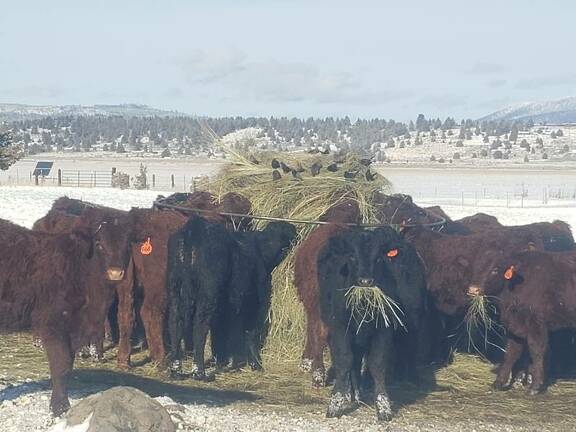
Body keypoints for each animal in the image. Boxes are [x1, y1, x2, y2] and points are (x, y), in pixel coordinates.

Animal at [0, 219, 132, 416]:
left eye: (127, 245)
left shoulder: (75, 329)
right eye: (99, 244)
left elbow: (68, 365)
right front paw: (59, 407)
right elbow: (61, 364)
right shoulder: (54, 323)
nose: (115, 272)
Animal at [165, 218, 292, 380]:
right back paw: (200, 373)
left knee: (175, 322)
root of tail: (194, 226)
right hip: (208, 292)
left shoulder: (224, 307)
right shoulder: (256, 301)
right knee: (200, 325)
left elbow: (219, 332)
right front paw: (256, 364)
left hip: (175, 287)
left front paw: (220, 360)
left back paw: (176, 371)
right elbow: (250, 331)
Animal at [320, 228, 428, 420]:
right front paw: (336, 402)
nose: (365, 281)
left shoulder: (383, 330)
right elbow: (344, 360)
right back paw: (352, 394)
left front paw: (383, 406)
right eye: (352, 256)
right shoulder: (340, 327)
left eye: (378, 258)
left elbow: (377, 364)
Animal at [482, 250, 576, 394]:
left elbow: (536, 352)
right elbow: (510, 353)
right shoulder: (515, 328)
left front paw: (535, 386)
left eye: (495, 270)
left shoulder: (536, 325)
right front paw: (498, 383)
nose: (473, 289)